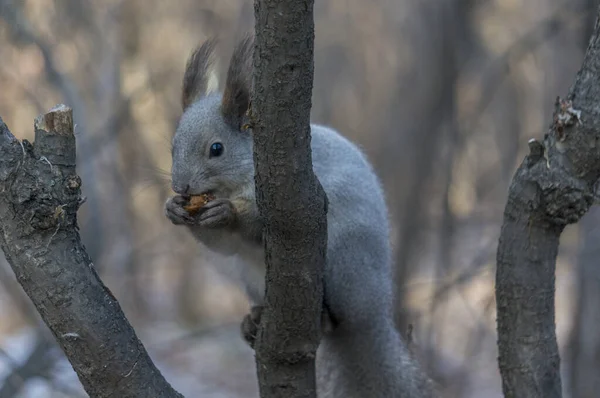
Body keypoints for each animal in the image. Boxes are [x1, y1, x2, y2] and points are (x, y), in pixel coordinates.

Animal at [164, 35, 436, 398]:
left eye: (216, 149)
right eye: (172, 146)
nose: (181, 186)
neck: (234, 182)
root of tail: (375, 316)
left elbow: (257, 227)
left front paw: (227, 213)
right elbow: (224, 245)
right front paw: (174, 209)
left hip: (344, 261)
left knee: (340, 318)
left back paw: (324, 317)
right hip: (251, 277)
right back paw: (254, 320)